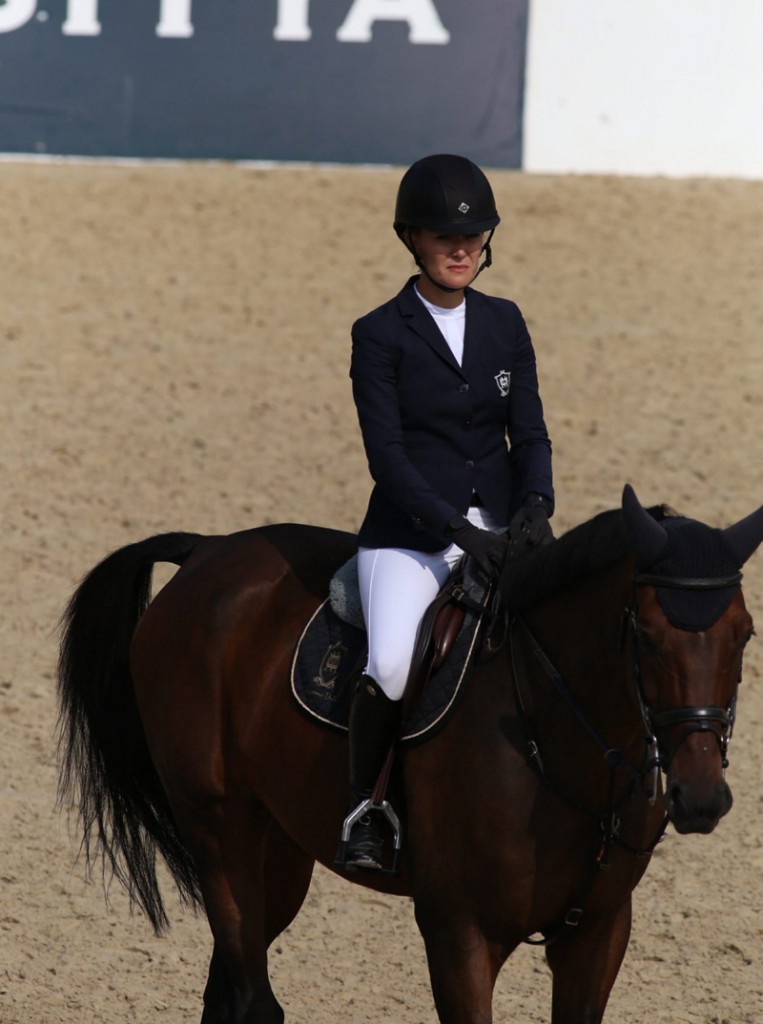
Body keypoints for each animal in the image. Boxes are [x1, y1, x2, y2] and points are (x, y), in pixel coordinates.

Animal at [59, 483, 761, 1019]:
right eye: (646, 634)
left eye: (745, 634)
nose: (701, 798)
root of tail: (207, 552)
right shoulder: (460, 934)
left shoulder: (599, 930)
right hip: (219, 833)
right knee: (255, 999)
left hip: (279, 851)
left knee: (228, 989)